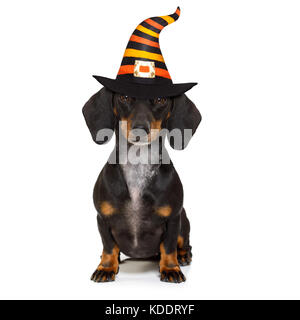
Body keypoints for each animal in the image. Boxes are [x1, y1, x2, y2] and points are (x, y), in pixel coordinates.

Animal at [82, 87, 202, 282]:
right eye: (124, 97)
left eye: (161, 99)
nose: (140, 130)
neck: (138, 165)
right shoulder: (102, 218)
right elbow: (109, 246)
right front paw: (106, 267)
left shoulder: (173, 218)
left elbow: (168, 247)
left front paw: (171, 268)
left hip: (184, 221)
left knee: (184, 243)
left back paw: (183, 256)